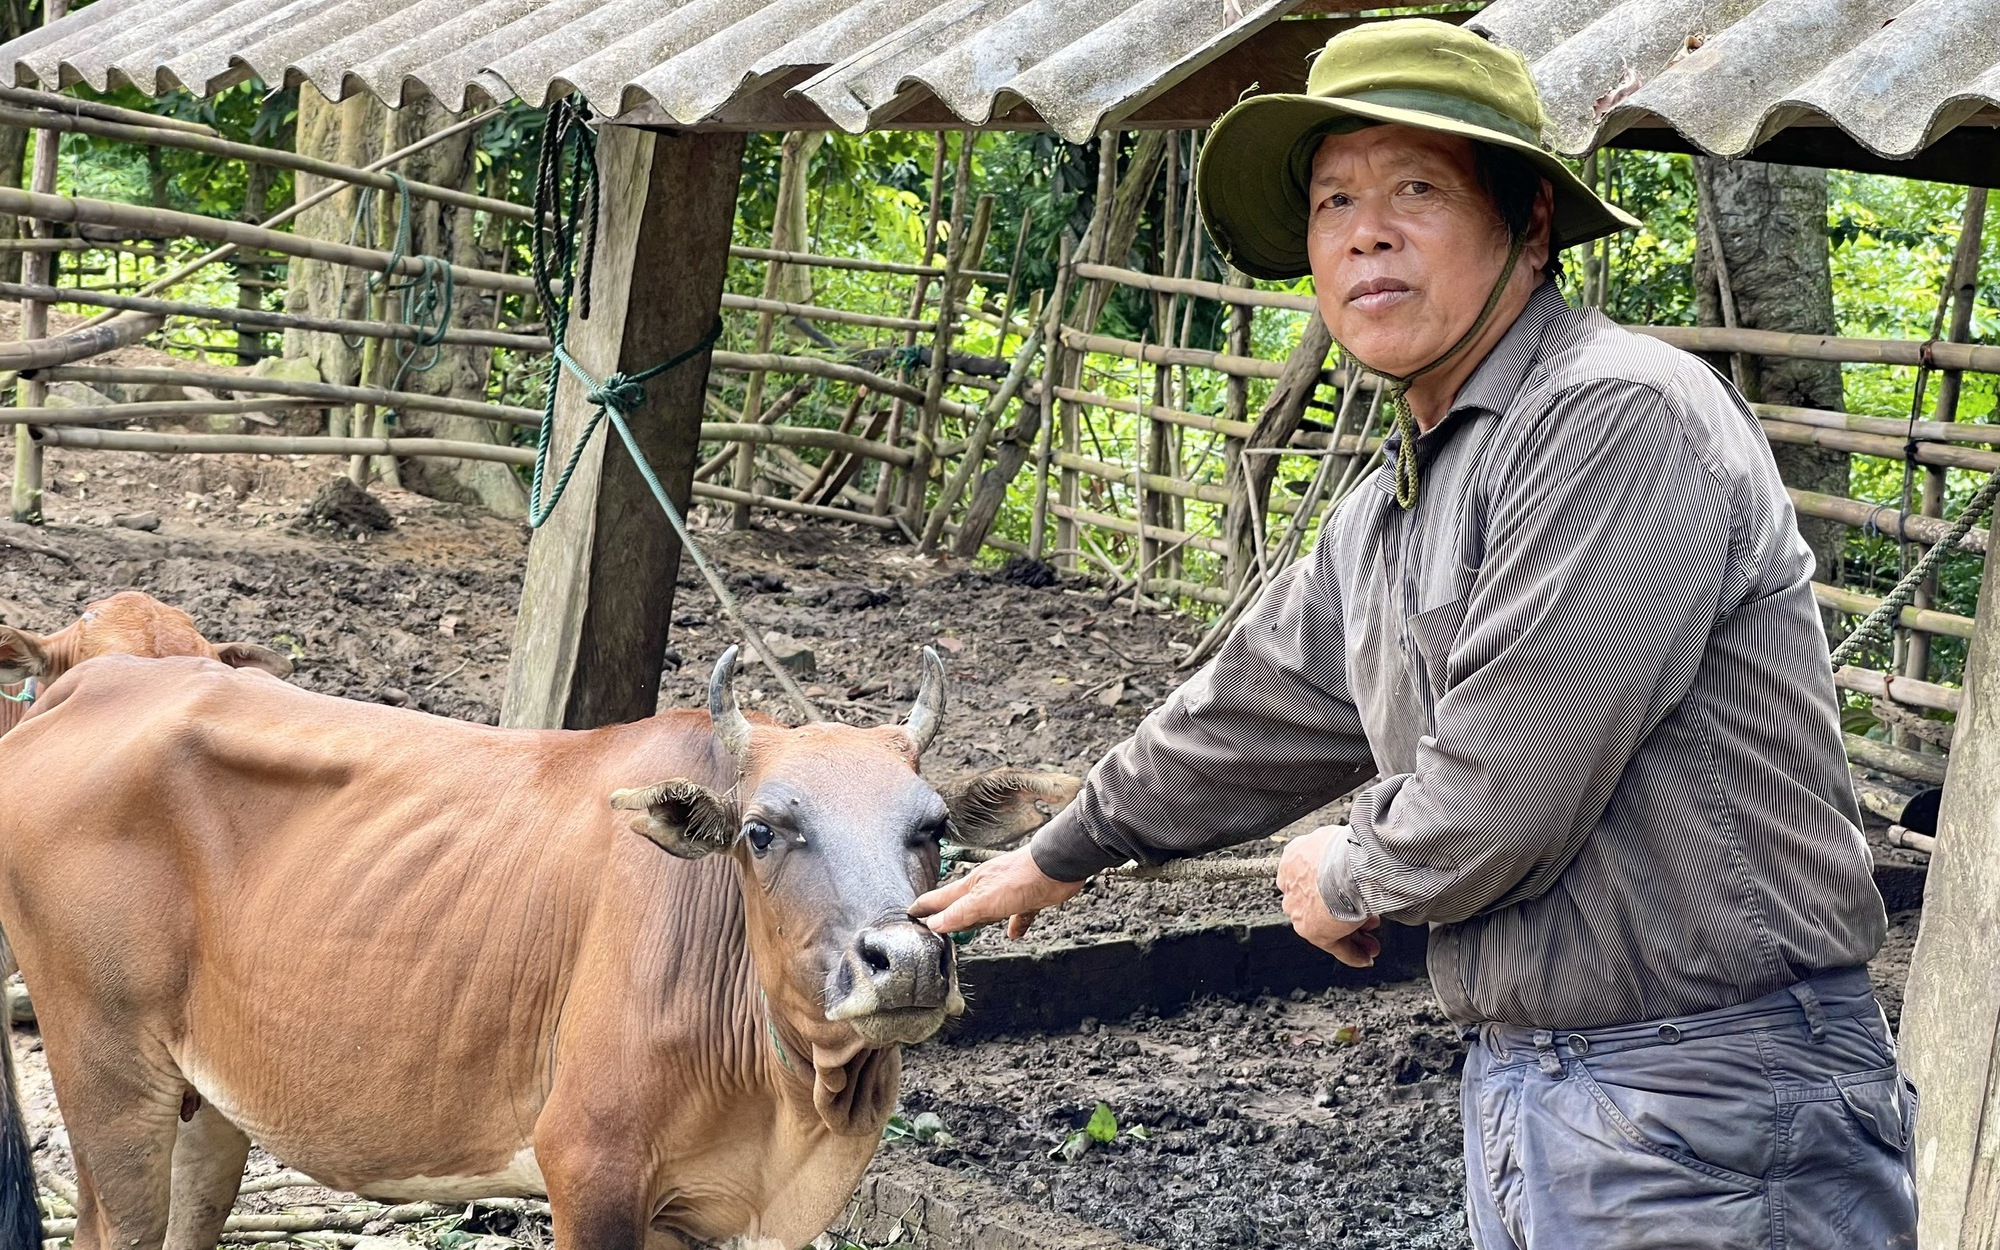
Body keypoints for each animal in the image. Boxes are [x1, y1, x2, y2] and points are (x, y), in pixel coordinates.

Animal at [0, 644, 1080, 1248]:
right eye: (763, 829)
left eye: (930, 826)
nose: (907, 958)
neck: (791, 1103)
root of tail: (88, 681)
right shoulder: (590, 1171)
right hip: (107, 1070)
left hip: (208, 1100)